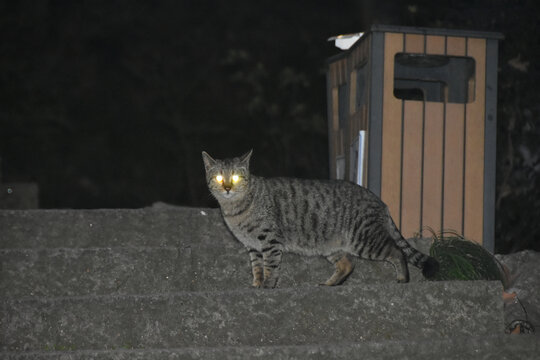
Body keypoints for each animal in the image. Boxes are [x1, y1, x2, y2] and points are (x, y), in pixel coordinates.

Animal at [202, 148, 438, 286]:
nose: (227, 187)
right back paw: (329, 284)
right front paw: (256, 285)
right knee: (348, 264)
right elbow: (257, 268)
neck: (235, 210)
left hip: (364, 239)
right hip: (331, 245)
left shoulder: (269, 240)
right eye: (219, 178)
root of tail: (380, 200)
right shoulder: (252, 245)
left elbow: (270, 266)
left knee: (396, 251)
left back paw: (402, 278)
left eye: (235, 177)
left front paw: (267, 287)